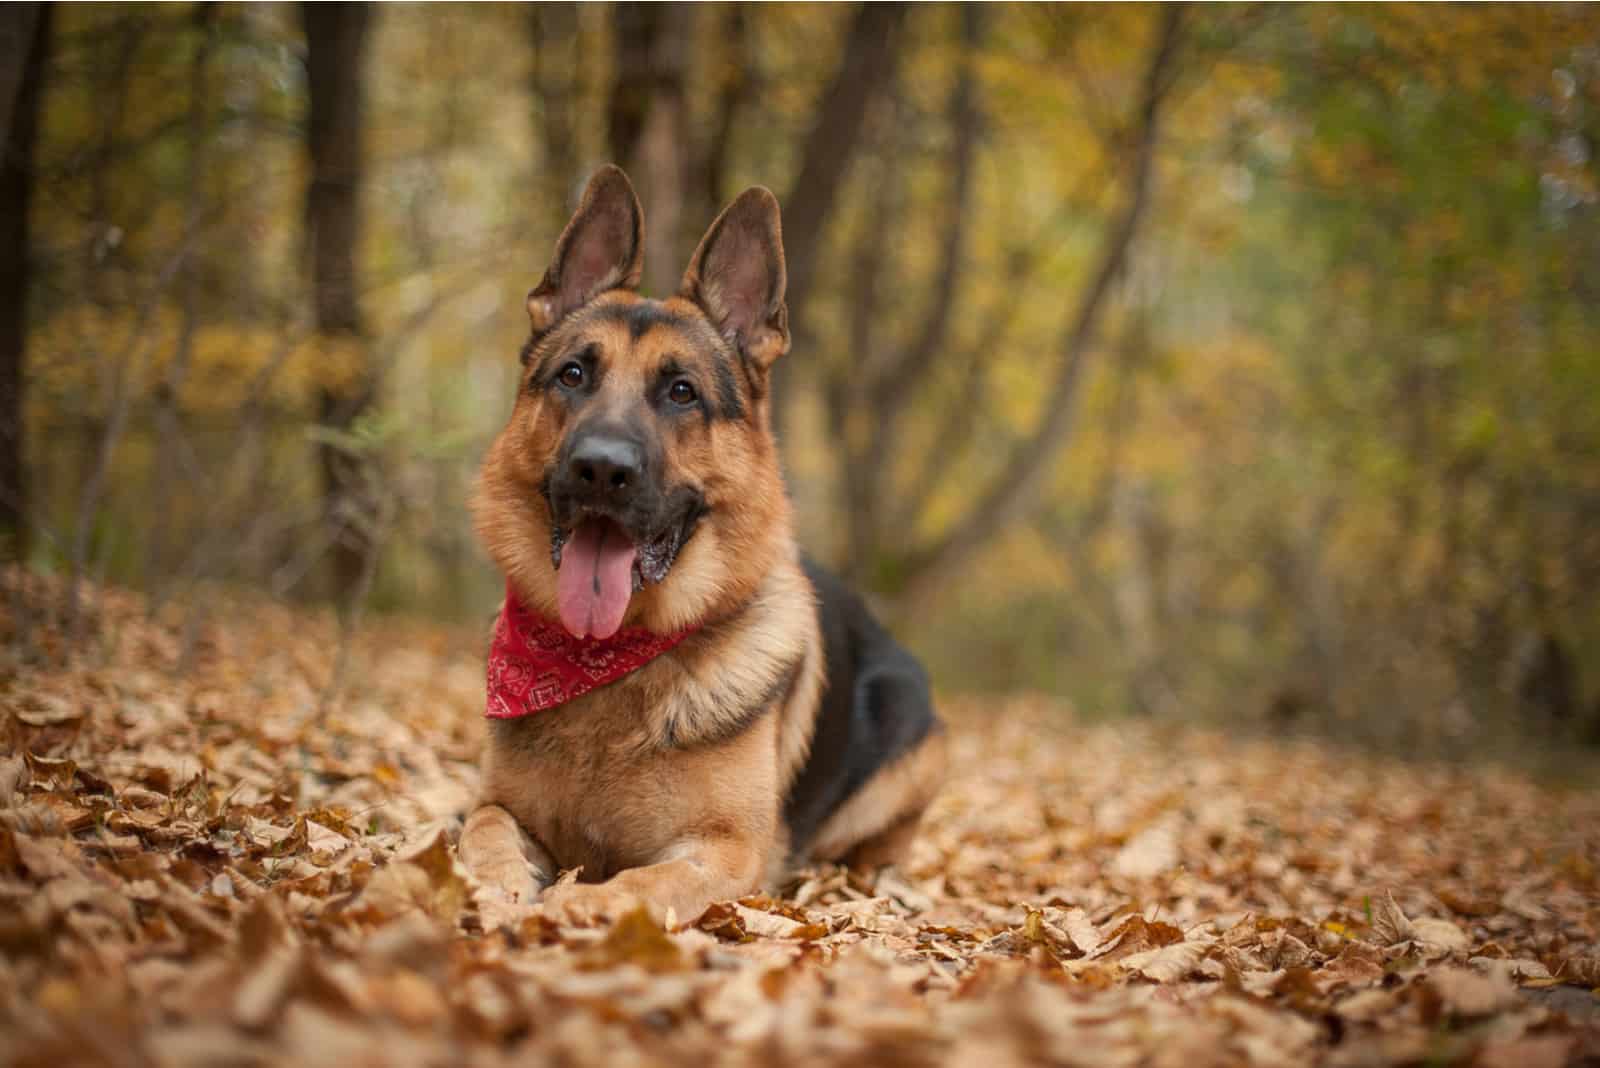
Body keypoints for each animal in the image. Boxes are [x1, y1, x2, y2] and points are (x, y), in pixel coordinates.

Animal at [457, 167, 940, 927]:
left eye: (681, 392)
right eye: (572, 375)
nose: (601, 469)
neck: (608, 663)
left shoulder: (725, 851)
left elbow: (641, 882)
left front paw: (575, 906)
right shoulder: (497, 804)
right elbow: (484, 832)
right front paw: (497, 889)